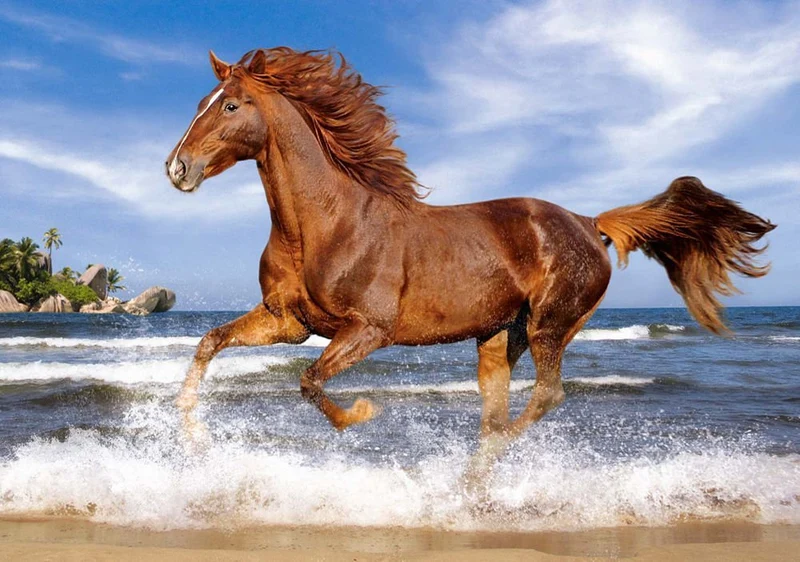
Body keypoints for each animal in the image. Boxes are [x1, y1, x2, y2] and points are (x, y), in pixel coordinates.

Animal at [165, 47, 775, 467]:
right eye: (198, 104)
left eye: (231, 105)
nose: (177, 168)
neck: (325, 224)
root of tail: (588, 222)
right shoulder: (288, 322)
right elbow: (209, 344)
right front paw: (192, 437)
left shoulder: (369, 329)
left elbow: (311, 381)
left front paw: (360, 414)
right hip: (500, 336)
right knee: (497, 410)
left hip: (549, 325)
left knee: (544, 397)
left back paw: (481, 467)